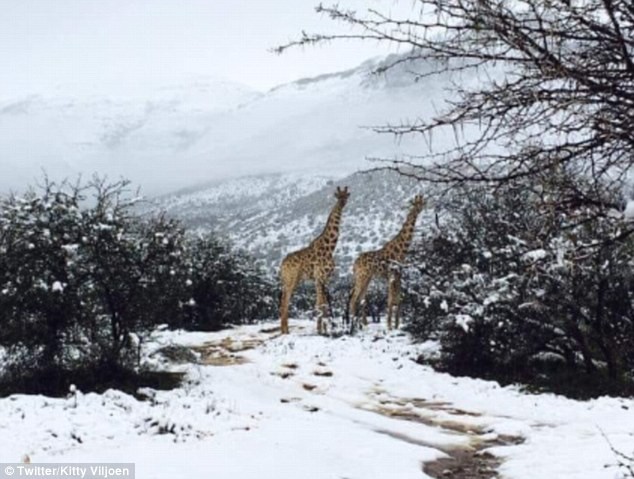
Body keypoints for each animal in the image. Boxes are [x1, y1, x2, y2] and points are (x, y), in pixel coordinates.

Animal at [278, 186, 350, 336]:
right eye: (338, 196)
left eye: (346, 196)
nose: (342, 203)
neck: (330, 247)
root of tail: (282, 265)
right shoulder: (319, 276)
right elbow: (320, 304)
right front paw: (321, 330)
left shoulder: (325, 278)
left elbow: (323, 304)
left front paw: (324, 329)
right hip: (291, 279)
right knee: (285, 301)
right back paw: (285, 331)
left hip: (290, 280)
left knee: (284, 300)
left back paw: (285, 329)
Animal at [348, 195, 422, 330]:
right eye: (417, 204)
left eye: (422, 202)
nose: (421, 207)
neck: (401, 249)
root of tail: (354, 265)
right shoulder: (391, 274)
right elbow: (390, 299)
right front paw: (390, 325)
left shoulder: (398, 274)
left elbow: (398, 297)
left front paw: (396, 324)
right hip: (362, 277)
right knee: (354, 298)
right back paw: (353, 323)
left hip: (367, 278)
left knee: (361, 298)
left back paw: (363, 323)